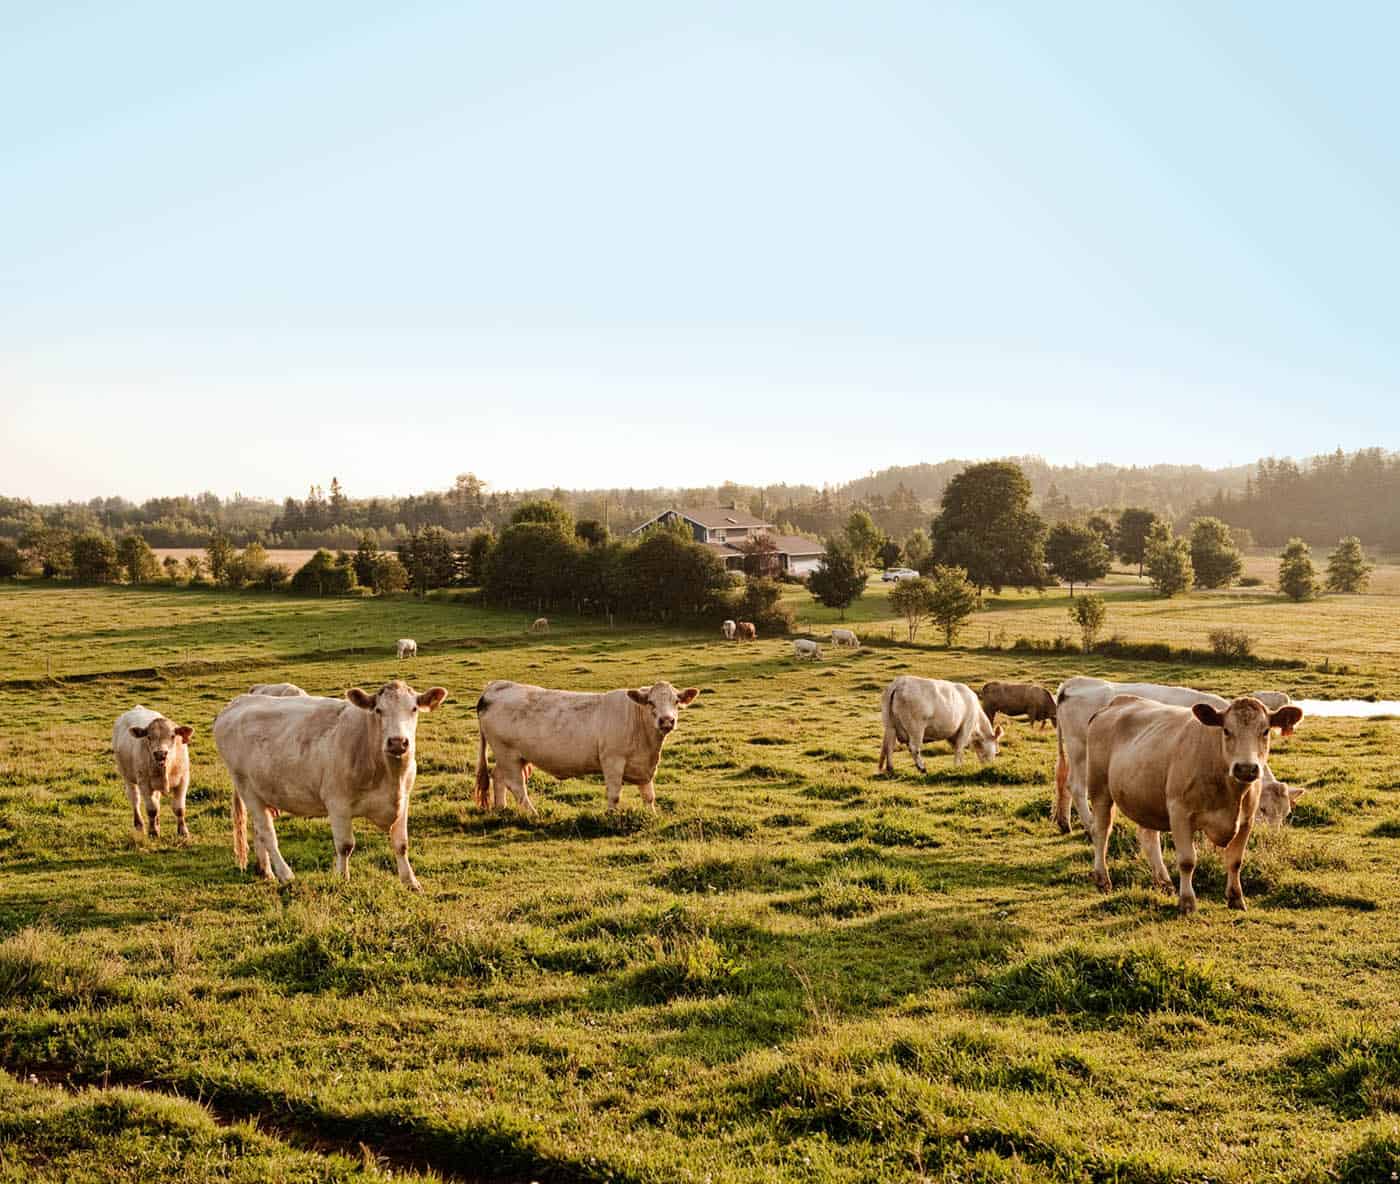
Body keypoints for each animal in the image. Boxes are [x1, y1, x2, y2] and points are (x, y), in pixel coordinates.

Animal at [113, 708, 194, 839]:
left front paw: (183, 832)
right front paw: (153, 832)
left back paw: (157, 823)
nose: (160, 753)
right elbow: (151, 810)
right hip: (127, 777)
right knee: (135, 799)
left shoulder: (183, 781)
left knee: (156, 800)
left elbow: (179, 809)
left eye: (172, 736)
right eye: (149, 737)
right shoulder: (144, 784)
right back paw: (139, 825)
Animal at [211, 677, 448, 890]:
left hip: (260, 791)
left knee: (258, 831)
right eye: (378, 710)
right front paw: (342, 878)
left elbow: (401, 844)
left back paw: (266, 871)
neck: (389, 776)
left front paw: (411, 882)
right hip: (246, 787)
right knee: (267, 833)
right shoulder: (337, 803)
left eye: (414, 709)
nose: (397, 742)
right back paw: (286, 874)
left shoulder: (404, 800)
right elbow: (345, 846)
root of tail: (238, 702)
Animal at [873, 677, 1008, 778]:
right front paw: (957, 767)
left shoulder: (953, 734)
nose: (989, 766)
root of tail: (899, 682)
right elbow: (959, 748)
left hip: (890, 725)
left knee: (889, 746)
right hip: (916, 727)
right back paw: (922, 768)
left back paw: (891, 769)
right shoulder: (965, 728)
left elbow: (956, 748)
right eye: (996, 752)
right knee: (914, 748)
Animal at [1080, 691, 1299, 912]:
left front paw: (1236, 898)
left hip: (1146, 796)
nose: (1246, 768)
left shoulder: (1246, 821)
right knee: (1101, 831)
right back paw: (1102, 879)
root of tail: (1116, 703)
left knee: (1148, 837)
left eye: (1265, 731)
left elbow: (1235, 860)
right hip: (1100, 789)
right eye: (1226, 730)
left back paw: (1164, 882)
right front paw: (1187, 901)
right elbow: (1187, 861)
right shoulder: (1179, 813)